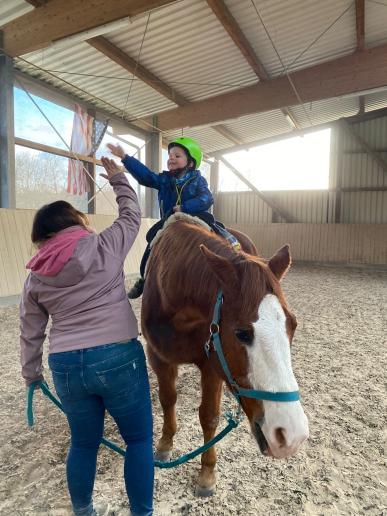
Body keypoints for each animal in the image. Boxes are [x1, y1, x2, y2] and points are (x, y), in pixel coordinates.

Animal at [141, 214, 310, 496]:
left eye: (293, 325)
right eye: (242, 333)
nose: (291, 435)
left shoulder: (212, 363)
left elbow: (209, 416)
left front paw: (207, 473)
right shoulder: (157, 356)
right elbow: (168, 399)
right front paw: (165, 443)